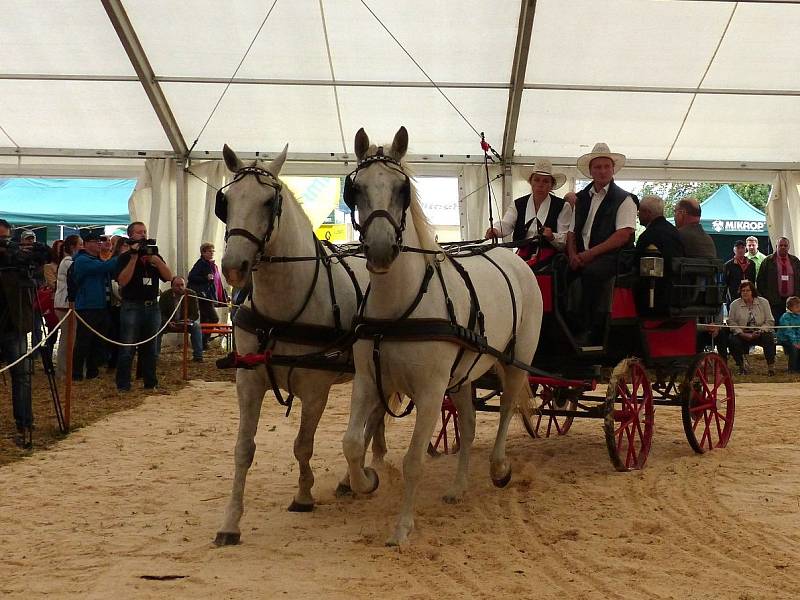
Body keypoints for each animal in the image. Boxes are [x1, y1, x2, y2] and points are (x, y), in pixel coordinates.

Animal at [212, 143, 388, 548]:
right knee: (375, 417)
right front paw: (231, 522)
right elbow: (243, 450)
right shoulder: (248, 381)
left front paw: (304, 495)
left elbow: (302, 444)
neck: (284, 310)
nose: (233, 267)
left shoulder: (315, 389)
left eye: (269, 202)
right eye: (226, 201)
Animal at [342, 125, 544, 544]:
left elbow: (414, 460)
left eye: (402, 188)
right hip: (464, 376)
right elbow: (352, 444)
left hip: (516, 361)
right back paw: (457, 488)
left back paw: (499, 468)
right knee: (467, 426)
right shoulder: (368, 380)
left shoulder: (431, 392)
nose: (381, 250)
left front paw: (403, 526)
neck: (400, 307)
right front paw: (365, 481)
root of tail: (515, 257)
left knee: (506, 409)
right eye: (356, 188)